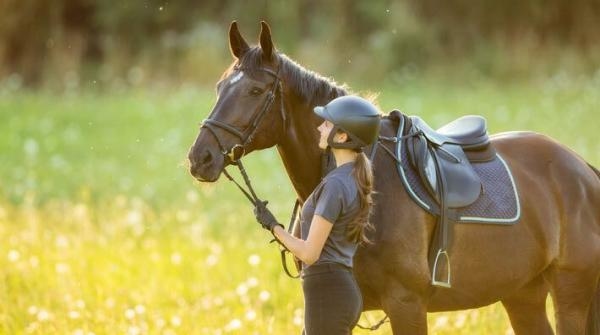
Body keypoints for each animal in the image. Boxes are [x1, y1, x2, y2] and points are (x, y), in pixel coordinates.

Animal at [190, 22, 600, 334]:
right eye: (219, 88)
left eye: (255, 90)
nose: (200, 158)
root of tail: (582, 170)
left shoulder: (406, 305)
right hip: (522, 294)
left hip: (570, 292)